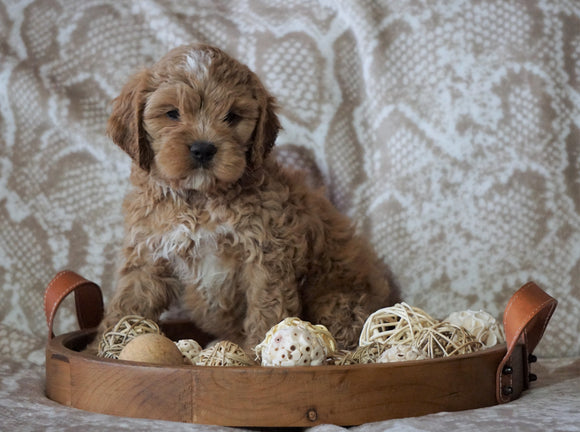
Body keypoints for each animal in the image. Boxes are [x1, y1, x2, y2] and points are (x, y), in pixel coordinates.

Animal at [101, 44, 394, 352]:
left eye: (232, 116)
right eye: (172, 113)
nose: (203, 149)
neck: (200, 199)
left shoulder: (266, 255)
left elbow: (266, 309)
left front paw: (259, 353)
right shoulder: (149, 251)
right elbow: (129, 301)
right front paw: (106, 345)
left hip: (339, 299)